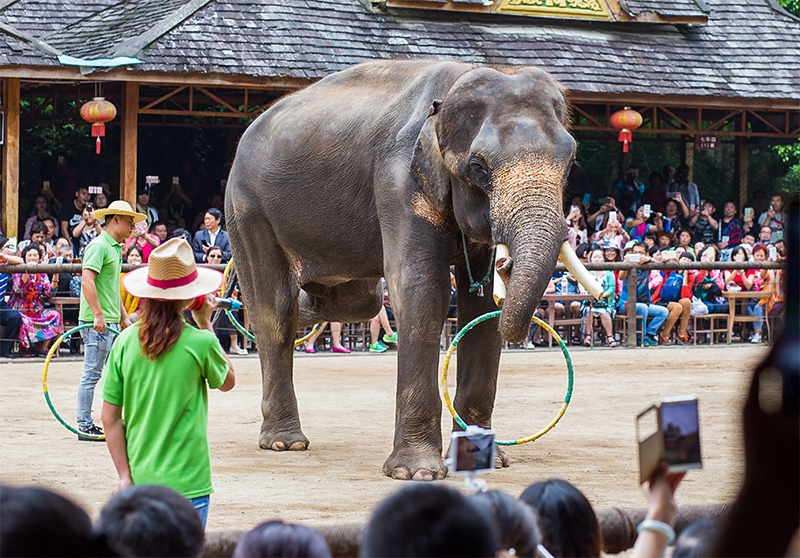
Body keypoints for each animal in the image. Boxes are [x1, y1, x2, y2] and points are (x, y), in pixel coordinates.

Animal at [225, 60, 588, 482]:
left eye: (571, 163)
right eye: (478, 168)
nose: (508, 264)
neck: (450, 91)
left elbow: (480, 309)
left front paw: (485, 461)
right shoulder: (398, 182)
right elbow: (422, 291)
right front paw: (417, 473)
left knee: (357, 300)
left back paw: (305, 307)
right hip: (248, 211)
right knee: (274, 311)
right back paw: (285, 442)